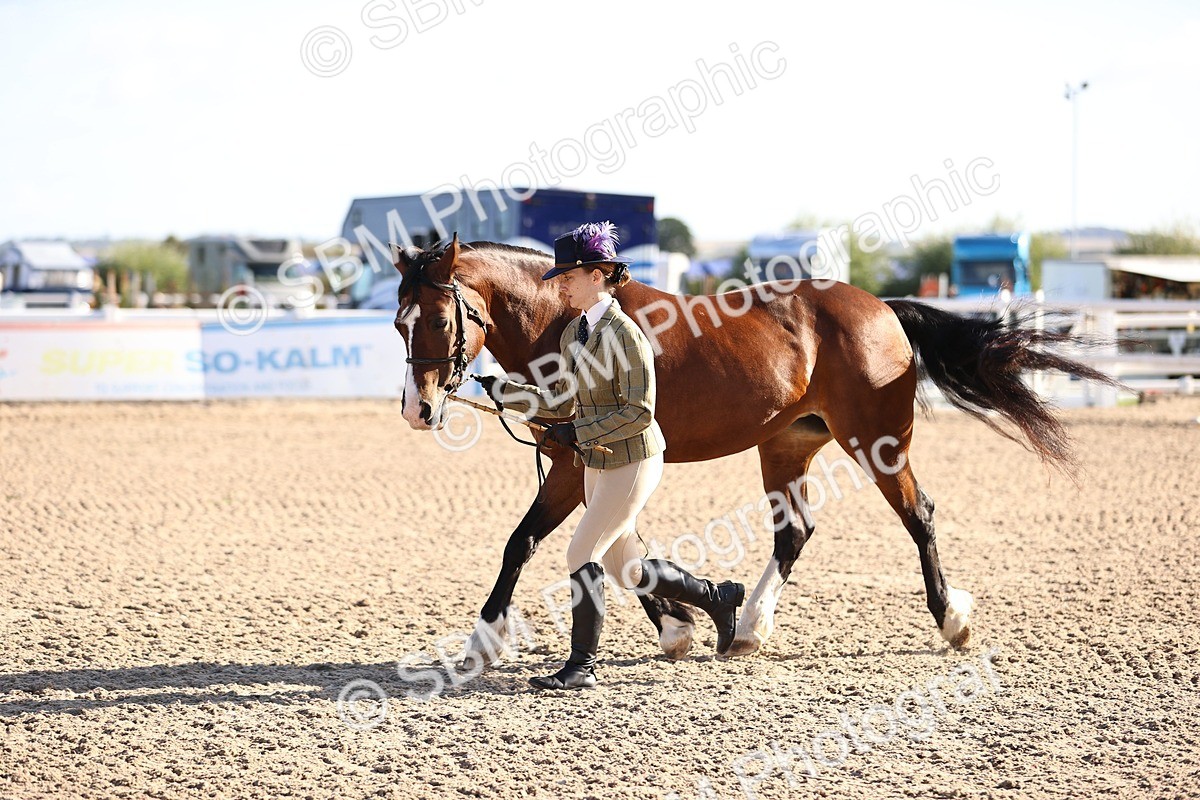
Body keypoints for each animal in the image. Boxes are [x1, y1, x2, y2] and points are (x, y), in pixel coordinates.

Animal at [390, 234, 1114, 662]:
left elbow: (526, 542)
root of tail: (883, 308)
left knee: (918, 515)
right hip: (786, 447)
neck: (567, 321)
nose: (418, 411)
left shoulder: (573, 462)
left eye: (440, 317)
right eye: (399, 321)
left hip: (878, 442)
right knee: (795, 532)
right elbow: (623, 552)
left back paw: (951, 622)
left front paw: (483, 638)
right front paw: (681, 626)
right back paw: (747, 627)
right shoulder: (595, 463)